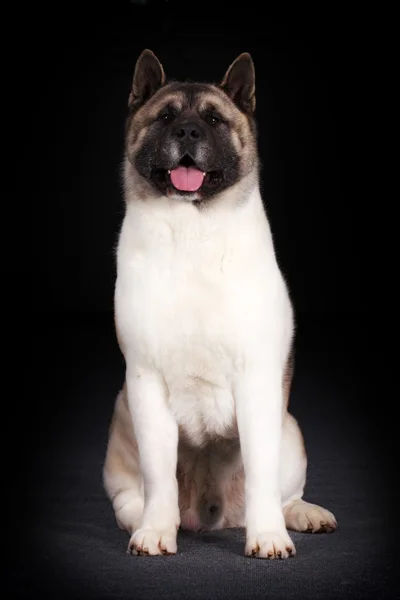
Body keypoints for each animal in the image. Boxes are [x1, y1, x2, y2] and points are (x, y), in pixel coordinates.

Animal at [101, 48, 336, 556]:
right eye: (165, 117)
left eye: (212, 119)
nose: (188, 132)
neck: (193, 228)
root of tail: (215, 517)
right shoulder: (146, 383)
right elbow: (159, 473)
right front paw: (156, 530)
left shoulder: (259, 382)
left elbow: (261, 471)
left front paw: (268, 536)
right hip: (122, 420)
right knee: (130, 497)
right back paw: (141, 519)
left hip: (291, 431)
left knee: (286, 493)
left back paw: (303, 515)